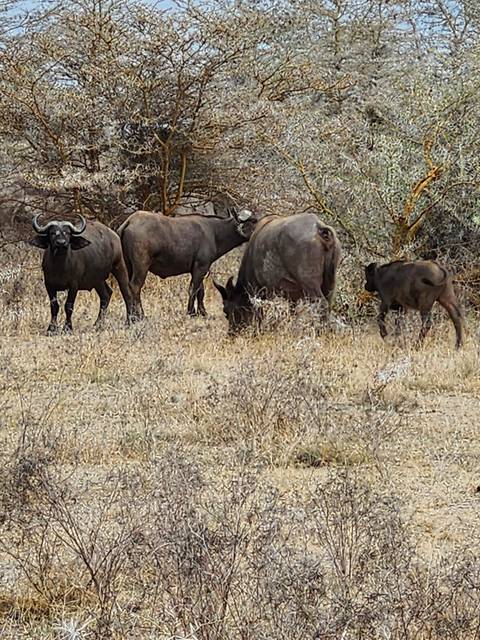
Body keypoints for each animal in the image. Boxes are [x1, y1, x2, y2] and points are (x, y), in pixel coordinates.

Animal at [118, 208, 258, 319]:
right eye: (253, 221)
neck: (214, 232)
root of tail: (129, 222)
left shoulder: (199, 269)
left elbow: (200, 291)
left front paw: (203, 312)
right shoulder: (201, 267)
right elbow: (193, 289)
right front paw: (191, 312)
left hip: (128, 266)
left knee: (126, 288)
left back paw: (130, 316)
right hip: (141, 266)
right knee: (135, 286)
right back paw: (140, 315)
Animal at [214, 212, 342, 332]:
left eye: (226, 311)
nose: (231, 333)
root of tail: (319, 229)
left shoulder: (260, 291)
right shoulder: (292, 297)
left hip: (310, 285)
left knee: (322, 305)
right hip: (330, 285)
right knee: (328, 305)